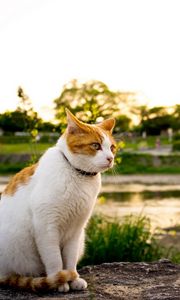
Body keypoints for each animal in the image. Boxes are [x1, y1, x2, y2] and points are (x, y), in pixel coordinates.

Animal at [0, 109, 115, 292]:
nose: (110, 158)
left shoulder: (76, 230)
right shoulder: (47, 228)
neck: (77, 175)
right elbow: (54, 259)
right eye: (95, 146)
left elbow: (70, 258)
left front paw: (73, 278)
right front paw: (59, 280)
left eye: (112, 147)